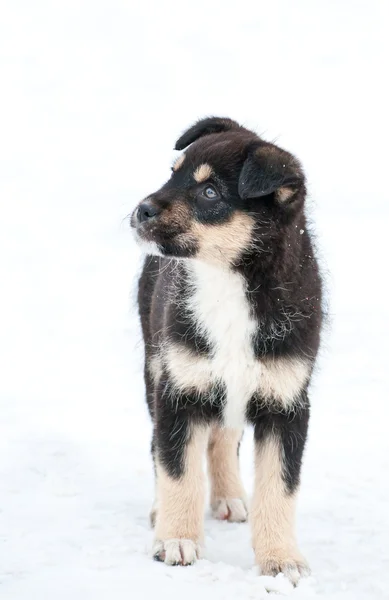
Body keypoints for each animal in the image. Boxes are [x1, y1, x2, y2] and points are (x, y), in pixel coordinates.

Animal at [130, 117, 322, 584]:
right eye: (173, 172)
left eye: (210, 192)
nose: (141, 209)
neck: (228, 282)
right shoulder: (178, 390)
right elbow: (178, 469)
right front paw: (177, 539)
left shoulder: (288, 402)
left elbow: (279, 487)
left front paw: (281, 560)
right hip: (155, 367)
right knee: (159, 447)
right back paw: (162, 510)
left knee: (224, 437)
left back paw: (230, 496)